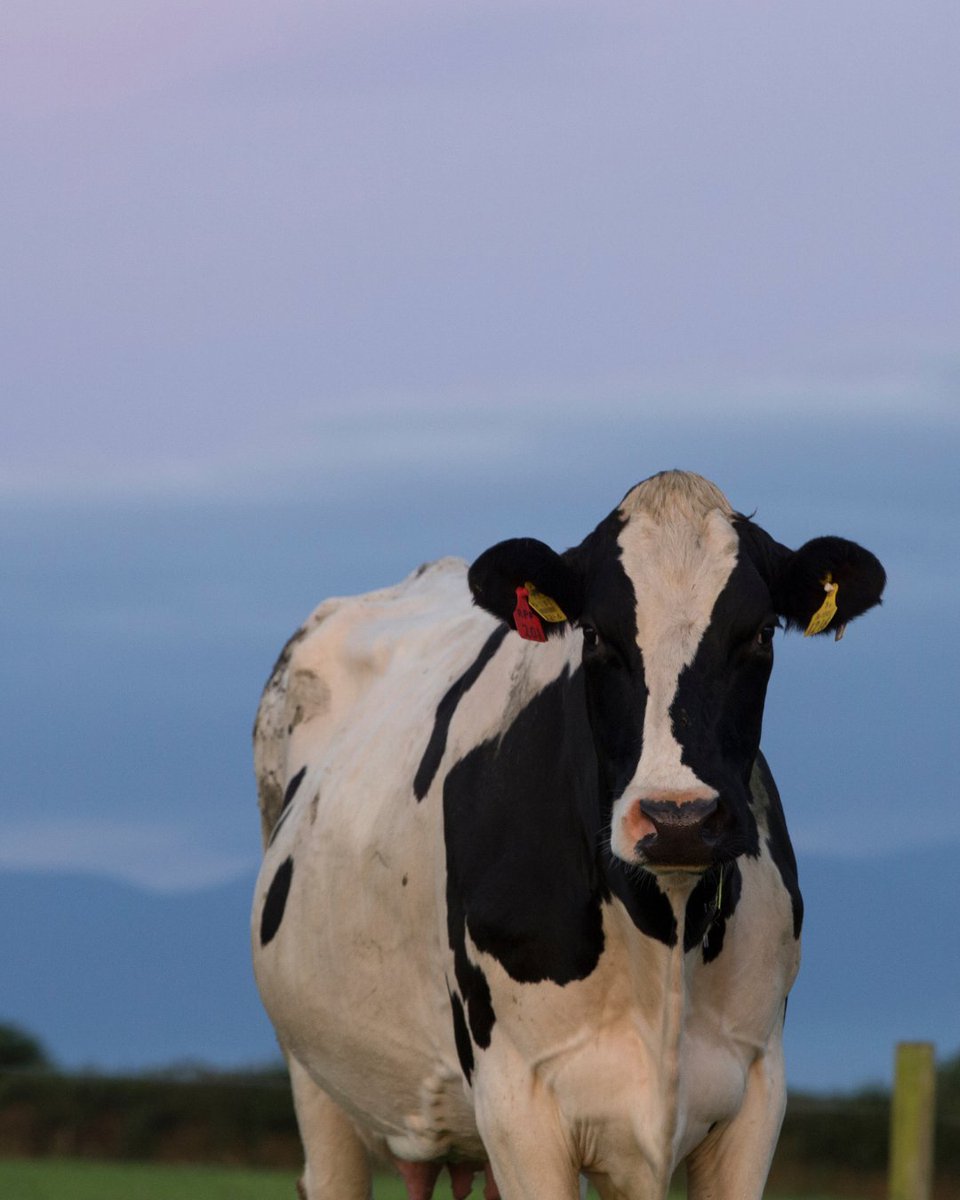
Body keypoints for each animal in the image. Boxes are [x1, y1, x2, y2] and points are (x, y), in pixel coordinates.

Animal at [252, 470, 885, 1200]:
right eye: (598, 635)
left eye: (758, 634)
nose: (678, 820)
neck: (664, 941)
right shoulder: (517, 1100)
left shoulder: (755, 1094)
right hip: (314, 1078)